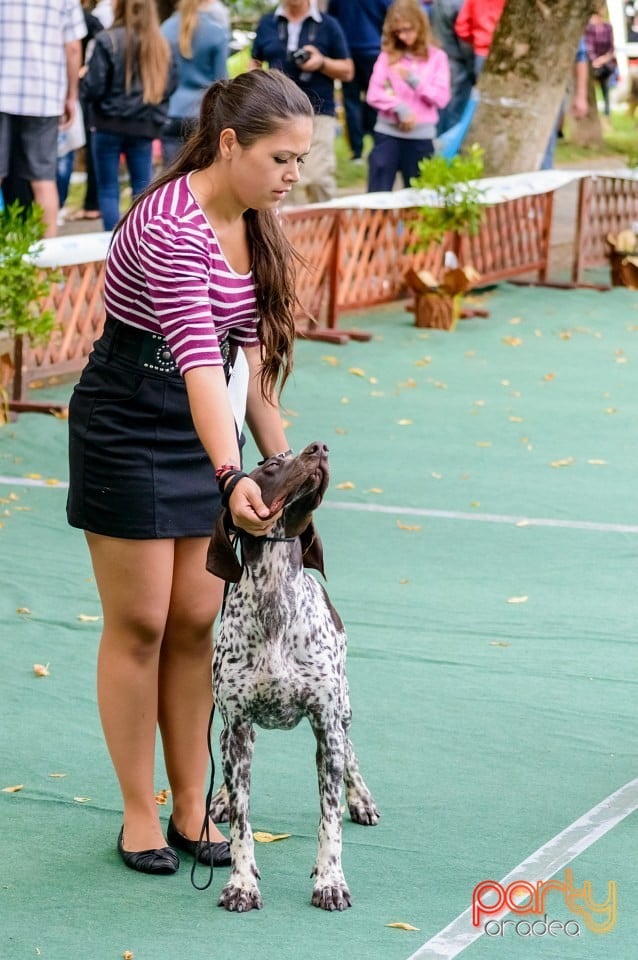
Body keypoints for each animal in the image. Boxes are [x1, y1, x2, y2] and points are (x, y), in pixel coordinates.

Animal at [208, 438, 380, 912]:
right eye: (269, 465)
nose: (319, 447)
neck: (275, 604)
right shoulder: (238, 725)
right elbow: (243, 824)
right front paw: (241, 883)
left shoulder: (325, 725)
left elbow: (329, 820)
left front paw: (330, 881)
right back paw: (220, 798)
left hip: (342, 709)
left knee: (351, 749)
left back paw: (361, 798)